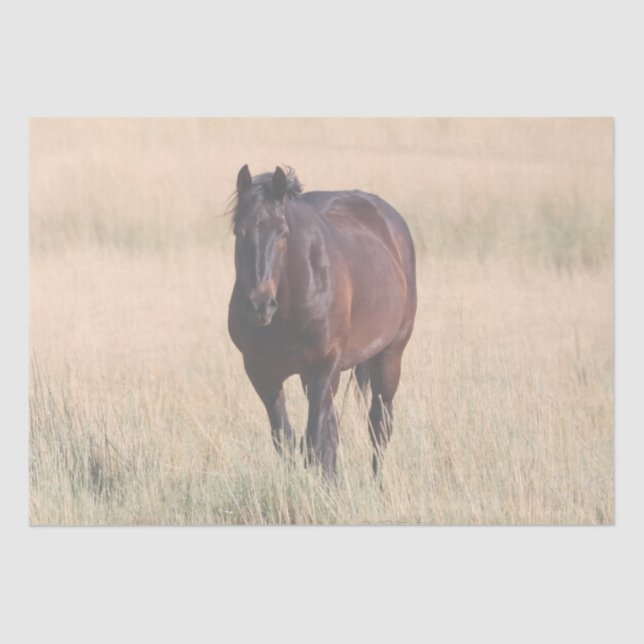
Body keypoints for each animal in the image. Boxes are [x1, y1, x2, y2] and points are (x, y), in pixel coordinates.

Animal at [227, 165, 417, 480]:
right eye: (238, 232)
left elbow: (315, 438)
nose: (260, 304)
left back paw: (377, 483)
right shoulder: (261, 372)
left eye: (283, 233)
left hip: (390, 355)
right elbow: (285, 437)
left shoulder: (324, 366)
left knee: (379, 424)